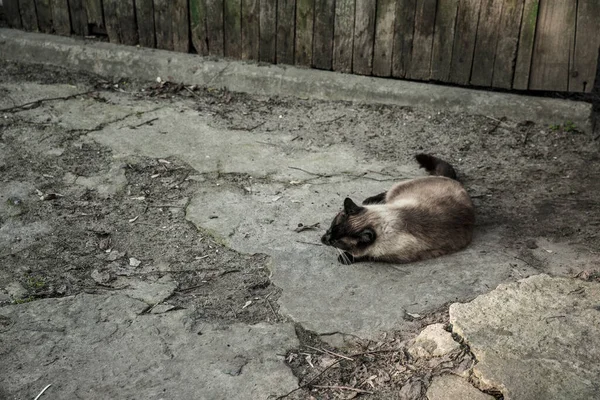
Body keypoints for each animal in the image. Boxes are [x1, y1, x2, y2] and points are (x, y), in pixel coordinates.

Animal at [322, 155, 476, 264]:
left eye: (336, 242)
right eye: (330, 228)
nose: (323, 239)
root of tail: (450, 179)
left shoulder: (392, 256)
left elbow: (367, 255)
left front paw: (345, 258)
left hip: (396, 190)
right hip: (396, 191)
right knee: (385, 193)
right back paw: (369, 200)